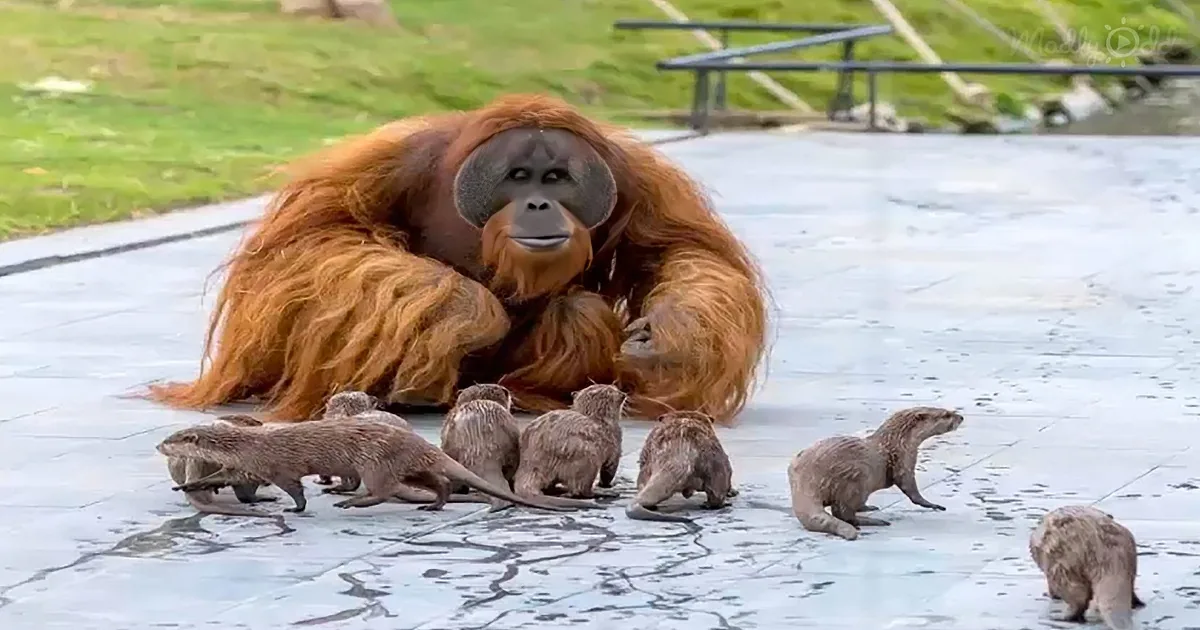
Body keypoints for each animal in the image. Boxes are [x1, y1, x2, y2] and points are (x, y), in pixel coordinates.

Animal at [788, 406, 964, 540]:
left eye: (949, 410)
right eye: (946, 414)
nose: (961, 417)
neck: (898, 441)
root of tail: (806, 479)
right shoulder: (904, 460)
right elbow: (910, 488)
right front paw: (932, 505)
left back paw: (867, 508)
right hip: (856, 477)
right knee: (842, 511)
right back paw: (873, 521)